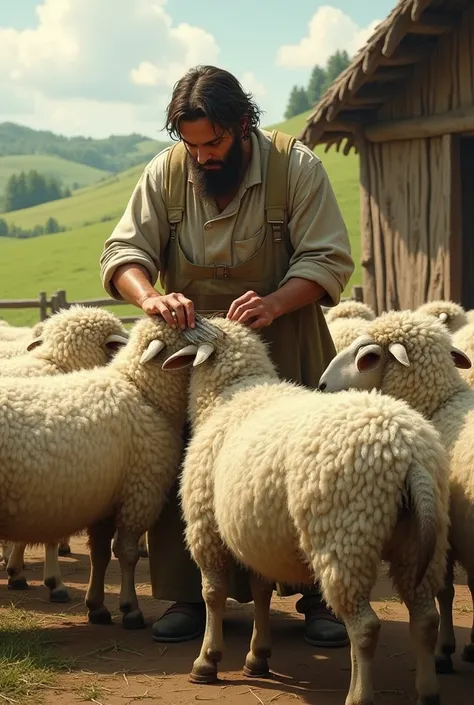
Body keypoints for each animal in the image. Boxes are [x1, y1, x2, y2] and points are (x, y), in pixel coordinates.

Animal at [161, 316, 450, 704]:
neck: (231, 392)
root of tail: (407, 450)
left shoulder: (205, 525)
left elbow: (214, 594)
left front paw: (208, 660)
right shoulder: (258, 531)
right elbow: (260, 590)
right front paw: (258, 656)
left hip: (345, 536)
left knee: (365, 627)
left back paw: (358, 695)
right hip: (417, 543)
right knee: (425, 618)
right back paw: (428, 691)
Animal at [314, 310, 474, 672]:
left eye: (366, 356)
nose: (321, 386)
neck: (440, 403)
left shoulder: (444, 530)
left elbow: (446, 590)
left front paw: (446, 650)